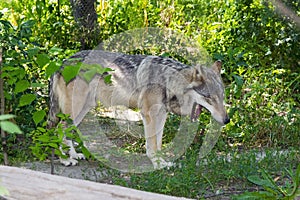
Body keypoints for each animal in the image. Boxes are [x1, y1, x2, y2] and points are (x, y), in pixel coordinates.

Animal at [48, 50, 230, 169]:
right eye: (209, 98)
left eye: (221, 97)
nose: (227, 120)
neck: (168, 81)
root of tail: (62, 62)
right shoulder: (148, 114)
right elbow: (152, 145)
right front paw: (157, 164)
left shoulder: (161, 115)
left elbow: (158, 143)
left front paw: (162, 162)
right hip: (75, 109)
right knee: (59, 129)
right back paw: (65, 160)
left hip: (82, 110)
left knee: (68, 130)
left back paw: (73, 155)